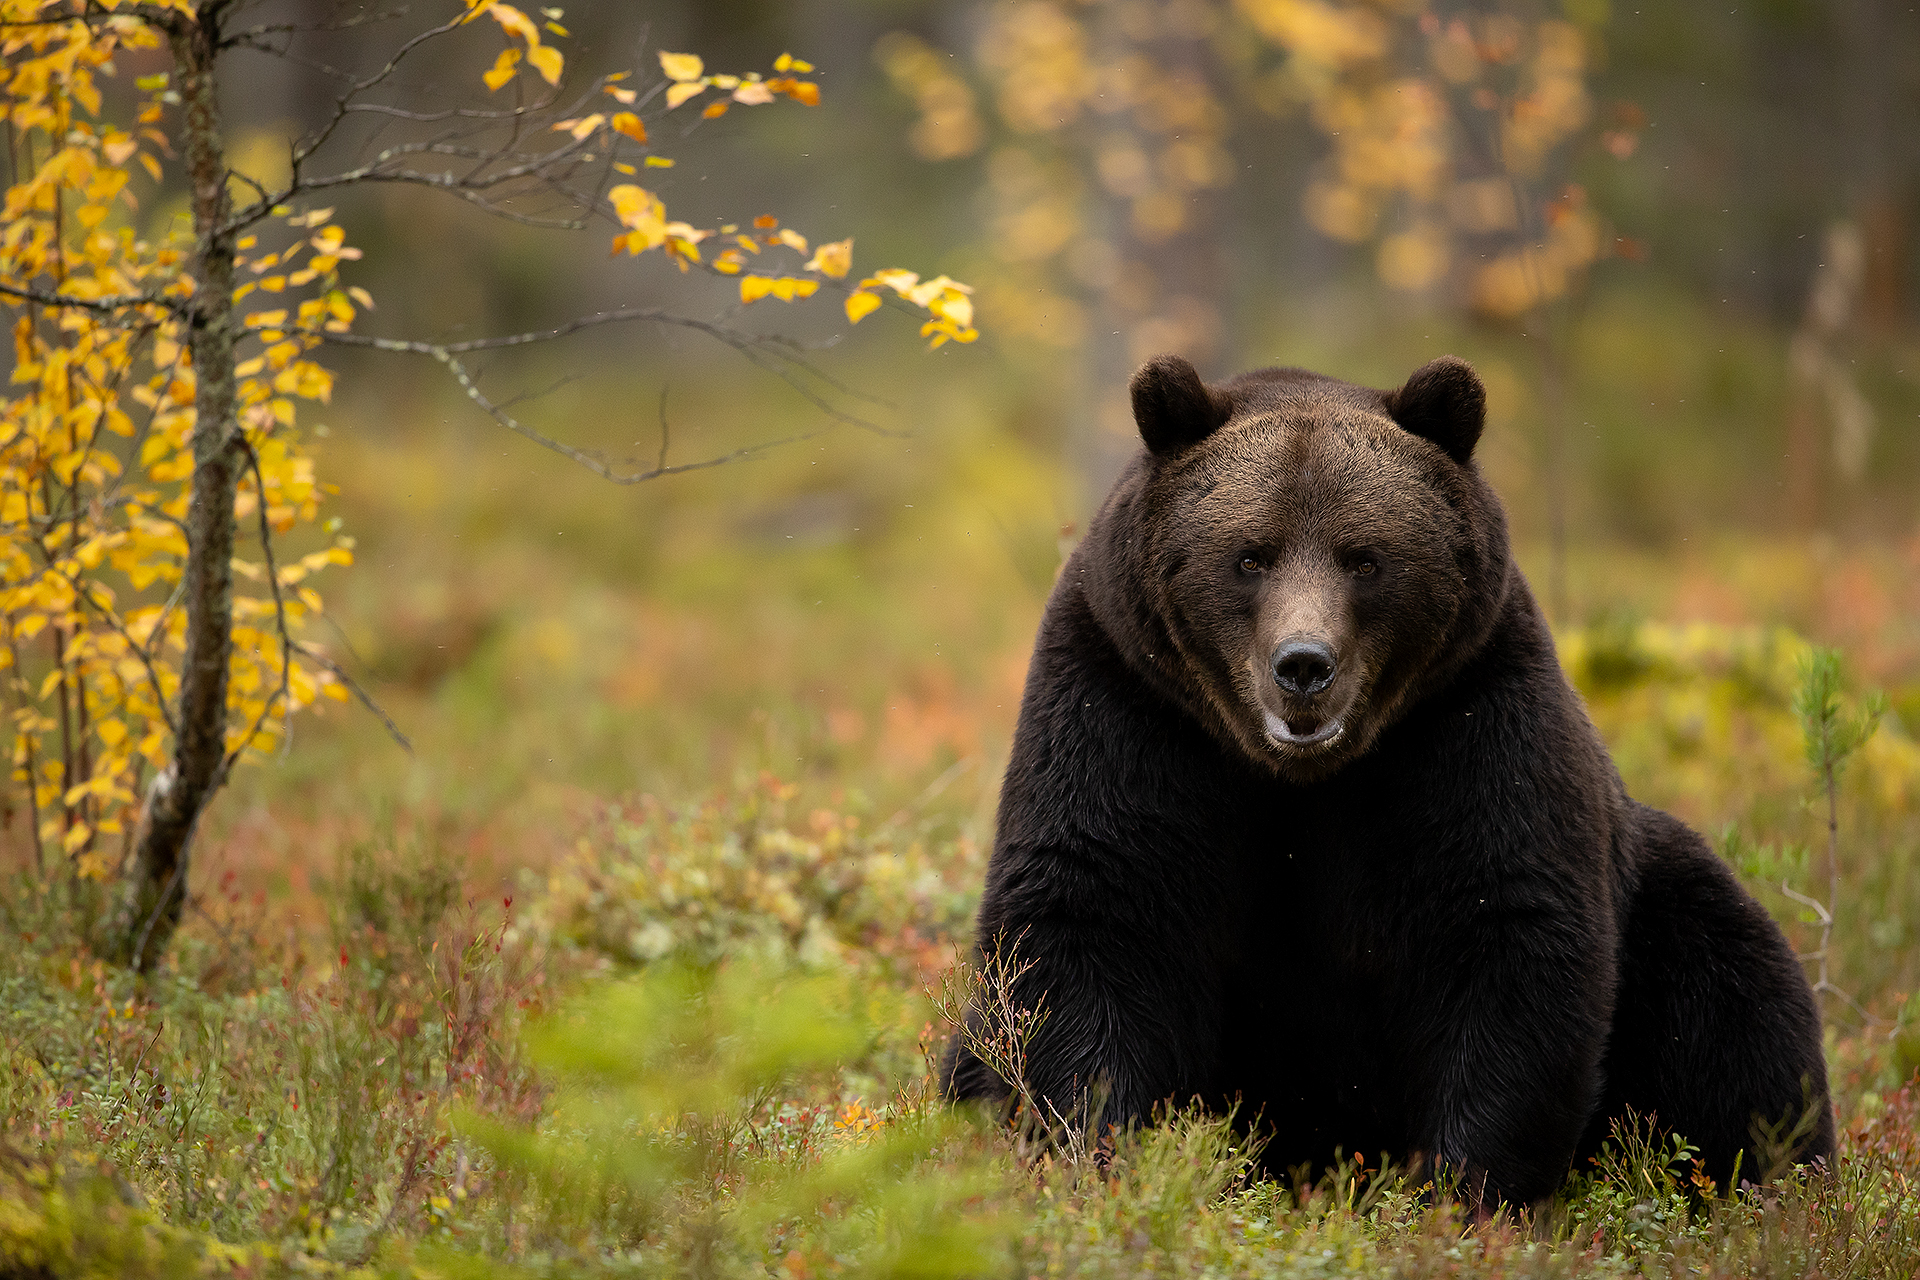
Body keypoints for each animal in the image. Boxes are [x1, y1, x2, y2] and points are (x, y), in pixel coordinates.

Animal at [942, 354, 1833, 1207]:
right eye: (1250, 556)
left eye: (1364, 558)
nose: (1303, 665)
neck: (1298, 779)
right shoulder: (1128, 709)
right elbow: (1088, 919)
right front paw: (1107, 1157)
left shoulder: (1467, 724)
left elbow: (1509, 935)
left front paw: (1461, 1193)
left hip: (1666, 907)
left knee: (1736, 1011)